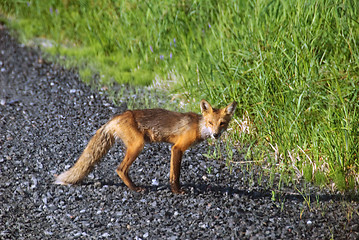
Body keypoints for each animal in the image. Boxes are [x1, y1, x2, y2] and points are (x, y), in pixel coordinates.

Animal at [55, 99, 236, 193]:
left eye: (222, 124)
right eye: (210, 123)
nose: (215, 135)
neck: (198, 127)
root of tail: (117, 117)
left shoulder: (175, 149)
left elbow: (173, 172)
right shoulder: (177, 148)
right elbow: (175, 174)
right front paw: (177, 191)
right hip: (137, 145)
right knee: (120, 169)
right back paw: (135, 188)